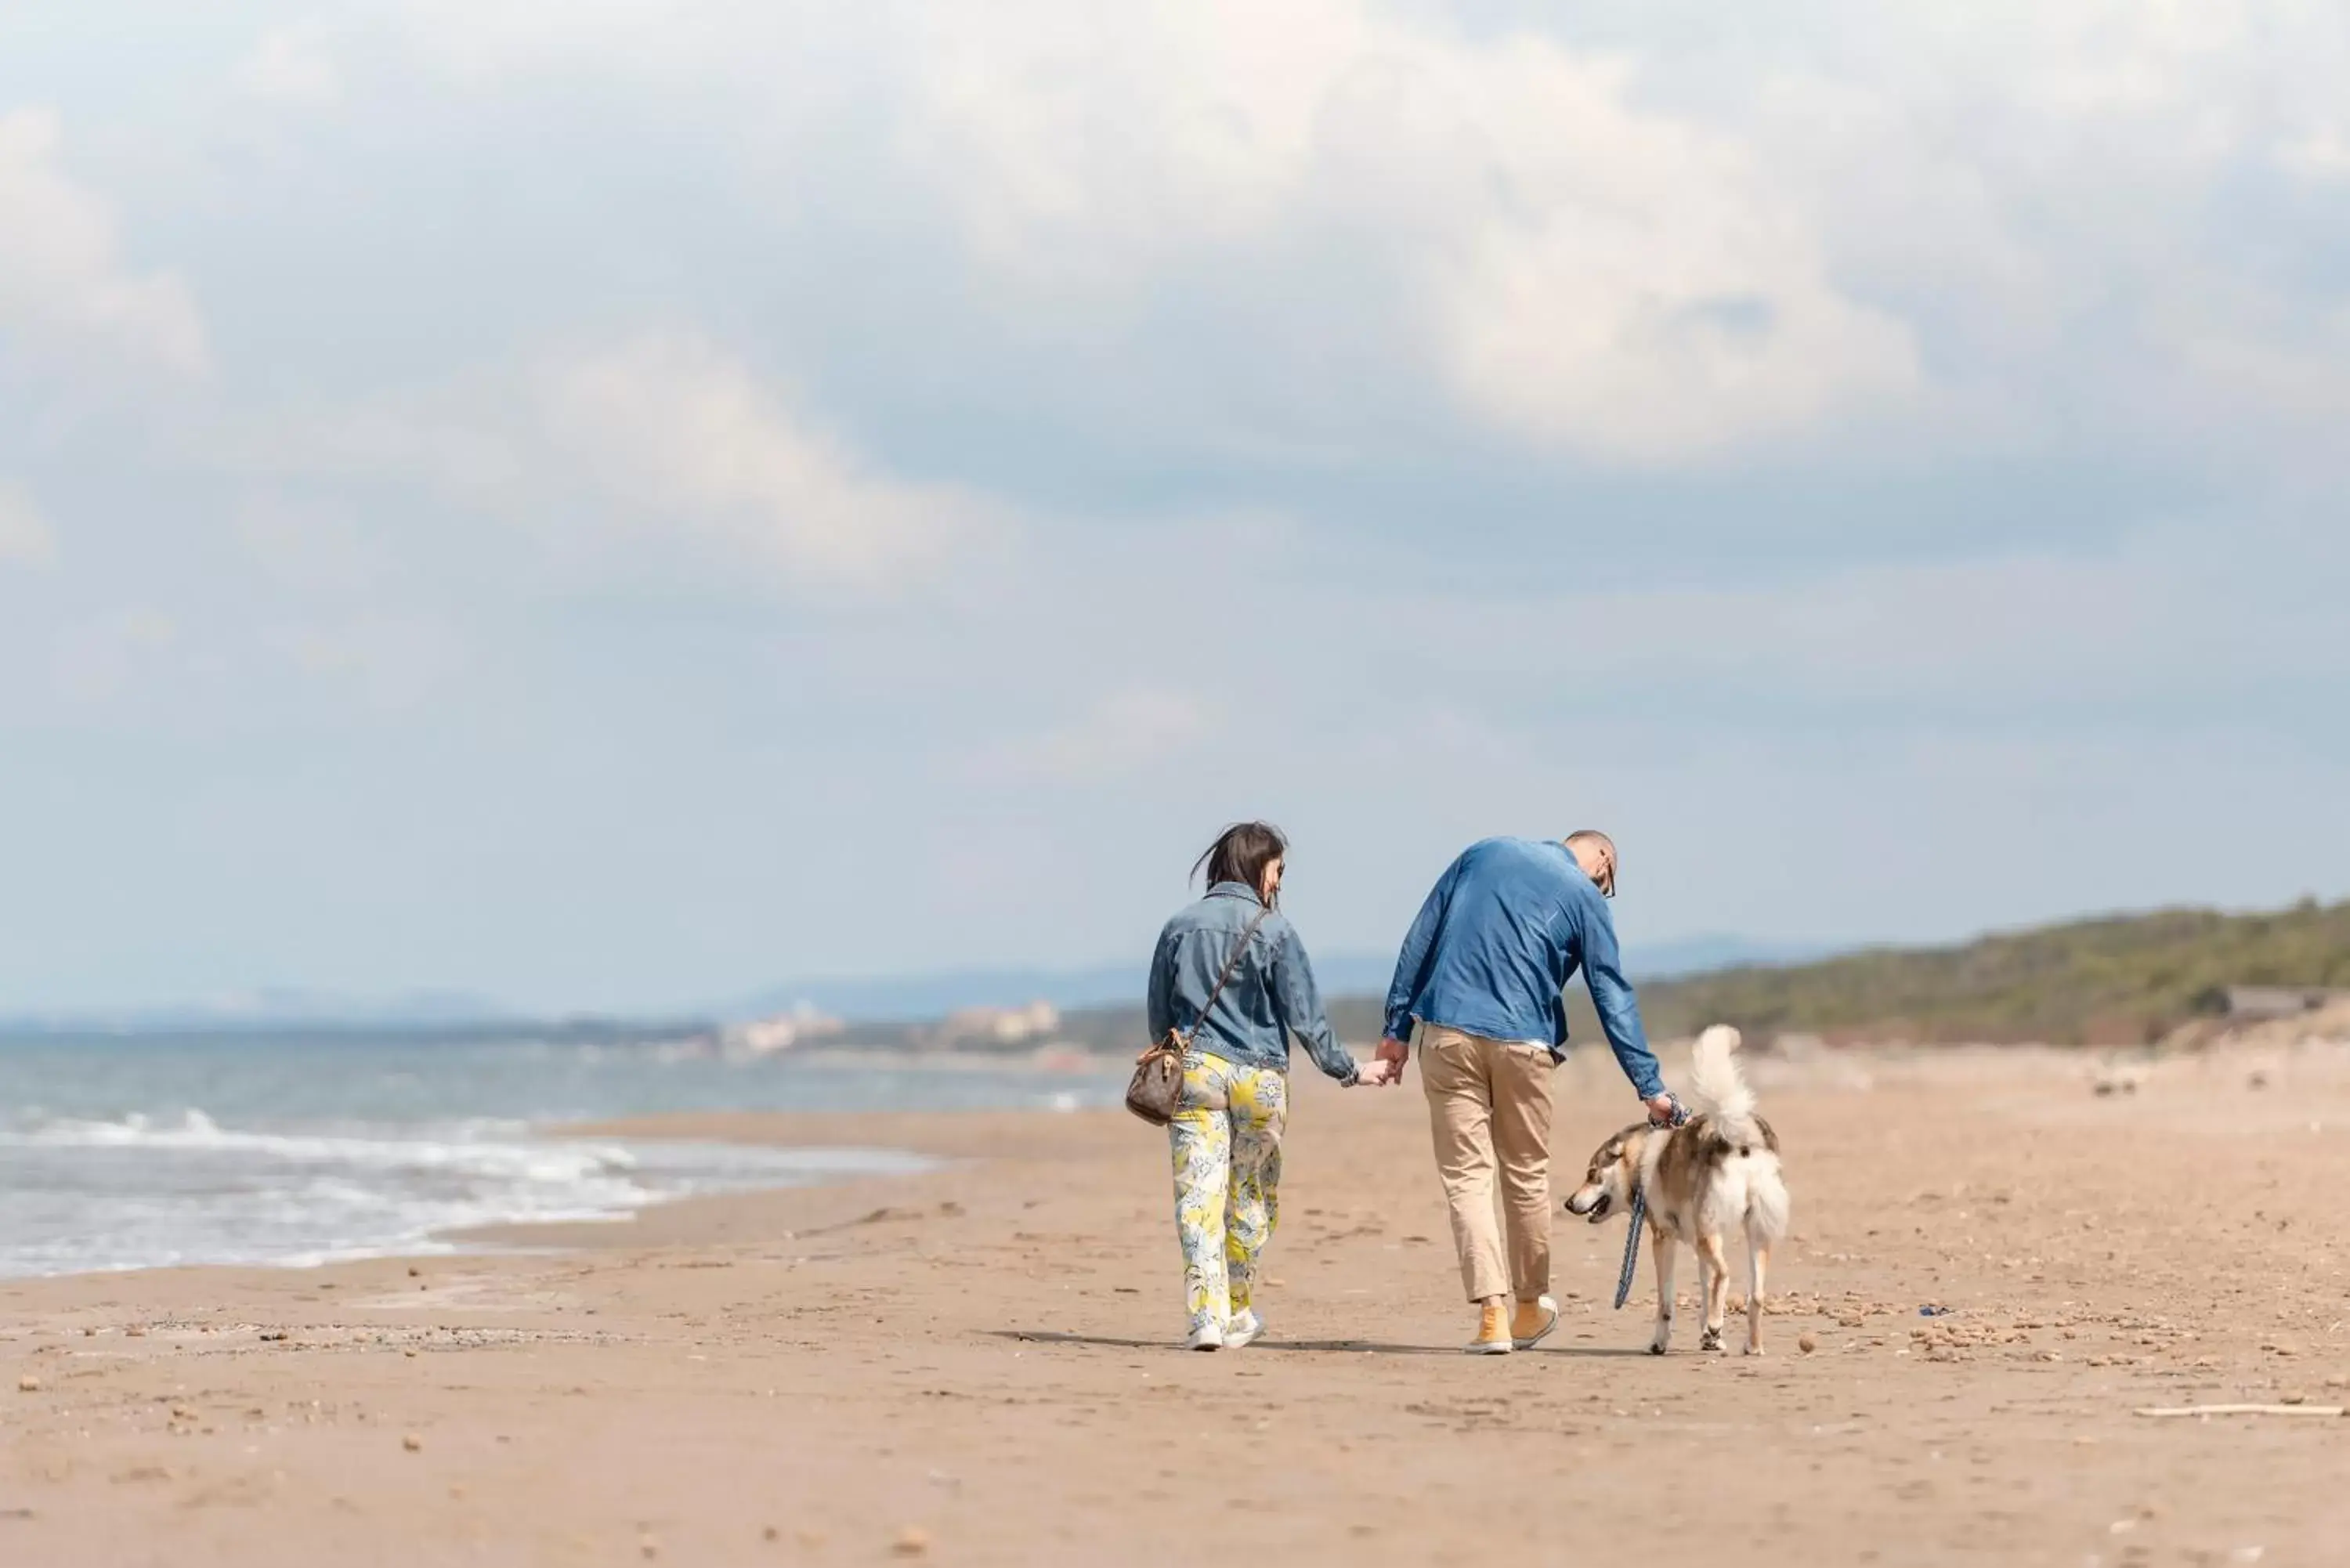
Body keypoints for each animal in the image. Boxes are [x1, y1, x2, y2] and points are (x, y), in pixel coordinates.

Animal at [1570, 1024, 1786, 1353]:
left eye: (1592, 1175)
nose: (1569, 1203)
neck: (1641, 1160)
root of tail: (1739, 1133)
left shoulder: (1663, 1239)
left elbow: (1665, 1303)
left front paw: (1661, 1342)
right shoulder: (1702, 1246)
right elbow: (1705, 1292)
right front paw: (1712, 1338)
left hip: (1709, 1233)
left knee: (1724, 1273)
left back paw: (1718, 1326)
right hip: (1754, 1233)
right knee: (1756, 1295)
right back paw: (1751, 1346)